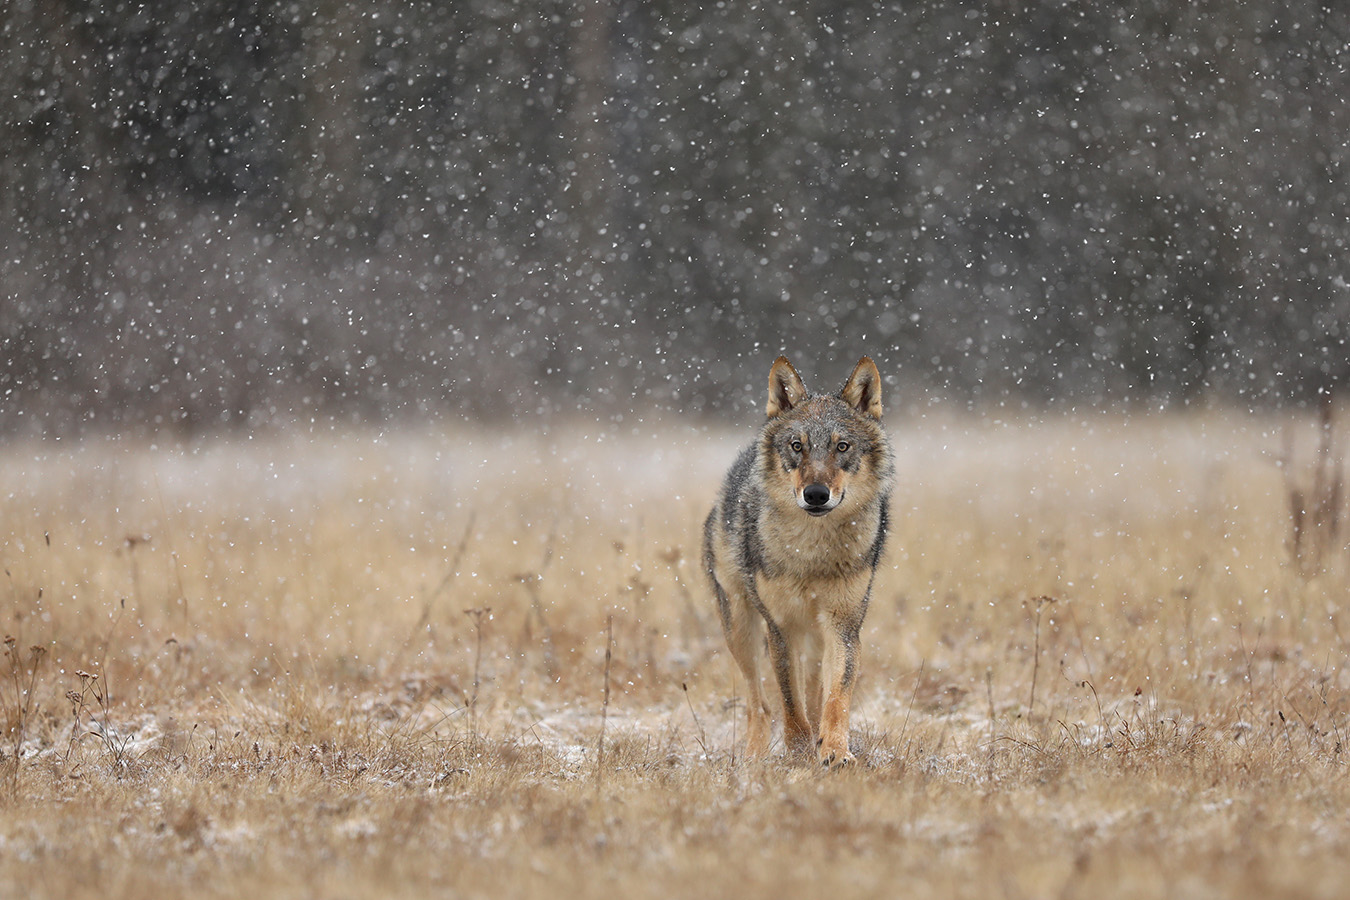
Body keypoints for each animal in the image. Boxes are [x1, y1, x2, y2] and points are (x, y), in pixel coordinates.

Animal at [702, 356, 891, 766]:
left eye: (842, 446)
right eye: (796, 446)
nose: (816, 494)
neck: (813, 553)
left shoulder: (844, 626)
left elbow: (836, 698)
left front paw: (834, 751)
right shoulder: (781, 628)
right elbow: (789, 703)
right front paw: (800, 750)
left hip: (815, 634)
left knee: (815, 692)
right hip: (739, 626)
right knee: (759, 704)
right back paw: (753, 759)